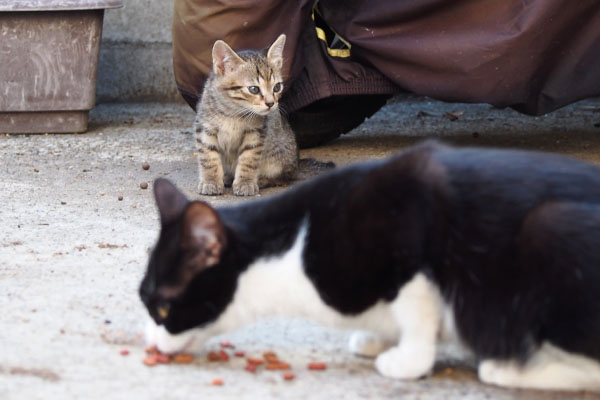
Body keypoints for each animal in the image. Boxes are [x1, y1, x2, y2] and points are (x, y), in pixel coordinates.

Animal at [143, 141, 600, 394]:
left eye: (163, 307)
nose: (150, 341)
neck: (294, 249)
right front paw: (378, 339)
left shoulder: (409, 236)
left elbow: (417, 315)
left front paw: (407, 360)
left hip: (551, 228)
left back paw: (507, 368)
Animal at [195, 34, 298, 197]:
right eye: (254, 89)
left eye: (277, 87)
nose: (271, 103)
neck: (233, 112)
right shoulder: (205, 128)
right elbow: (208, 157)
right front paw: (210, 181)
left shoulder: (256, 133)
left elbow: (248, 159)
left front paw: (245, 183)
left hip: (281, 157)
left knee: (284, 176)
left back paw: (262, 180)